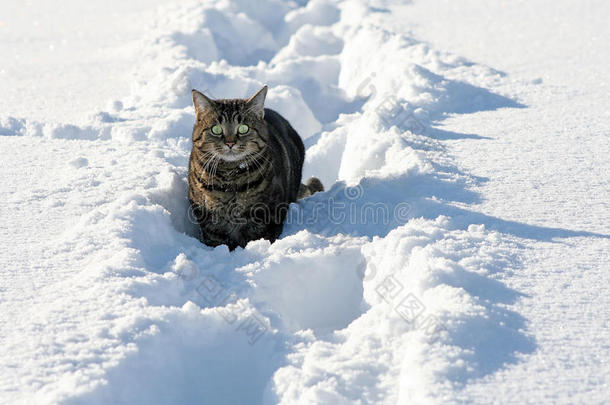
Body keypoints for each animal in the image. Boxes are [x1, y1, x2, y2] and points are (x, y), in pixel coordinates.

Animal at [188, 85, 324, 249]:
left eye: (243, 128)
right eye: (216, 129)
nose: (230, 143)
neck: (230, 178)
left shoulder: (266, 217)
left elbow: (258, 237)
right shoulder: (210, 223)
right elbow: (217, 241)